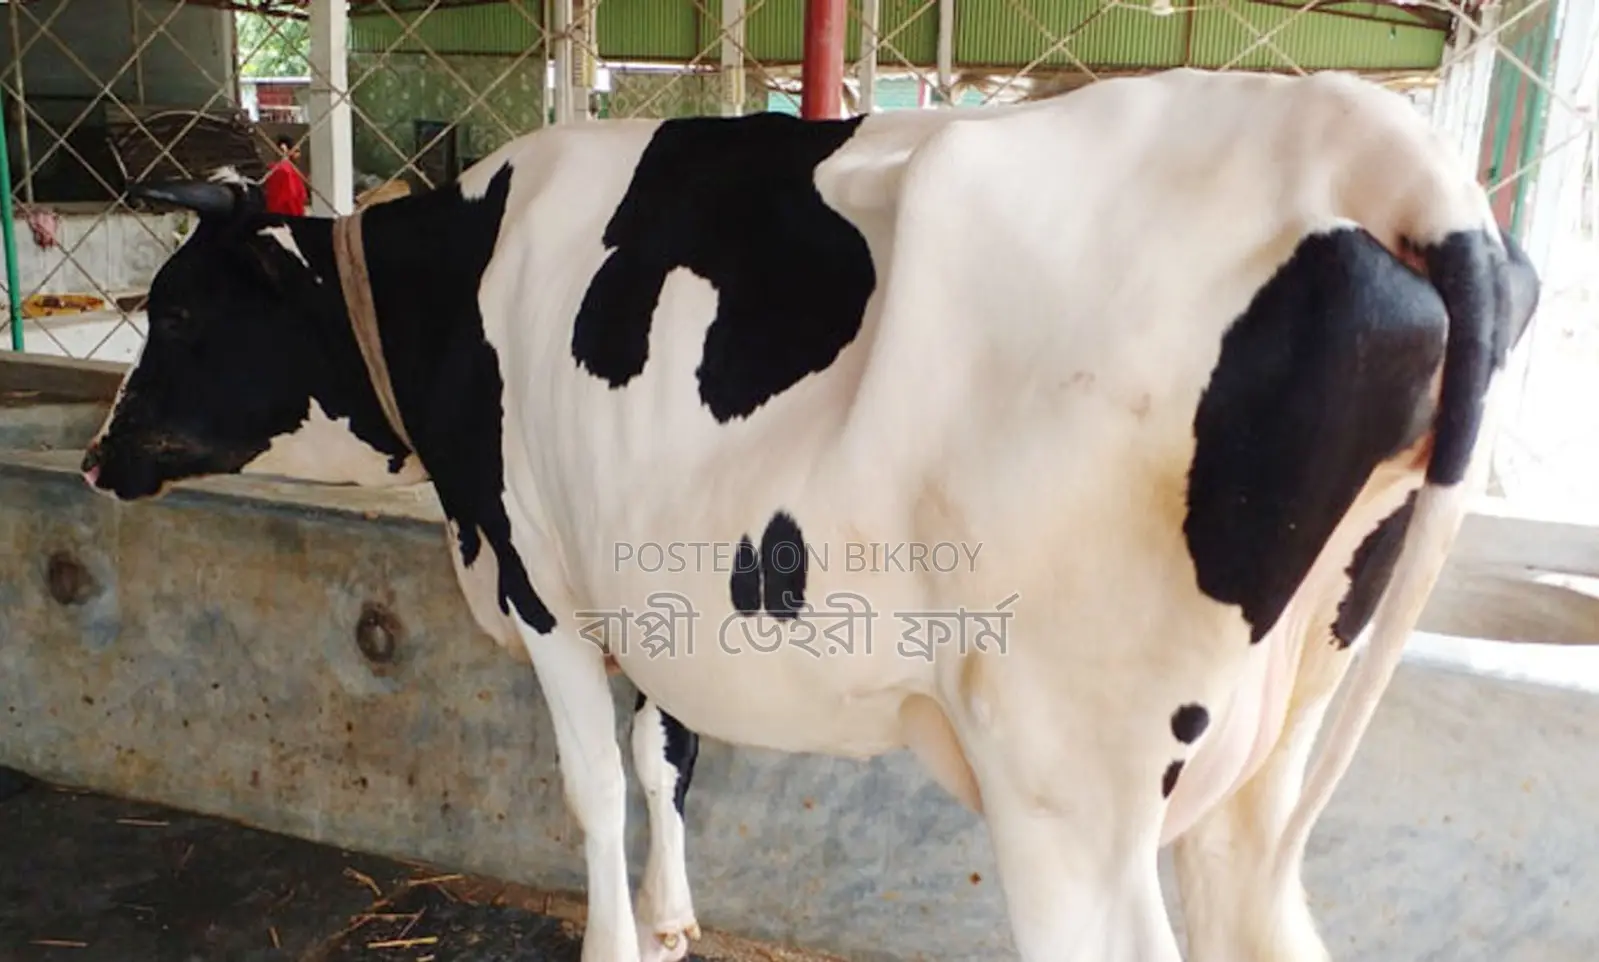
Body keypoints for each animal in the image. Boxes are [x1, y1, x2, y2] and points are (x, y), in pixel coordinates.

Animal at [81, 67, 1538, 962]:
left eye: (182, 312)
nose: (97, 455)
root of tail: (1382, 149)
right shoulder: (656, 580)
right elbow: (665, 755)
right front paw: (672, 919)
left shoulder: (544, 576)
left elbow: (590, 779)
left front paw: (612, 934)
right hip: (1270, 743)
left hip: (1067, 762)